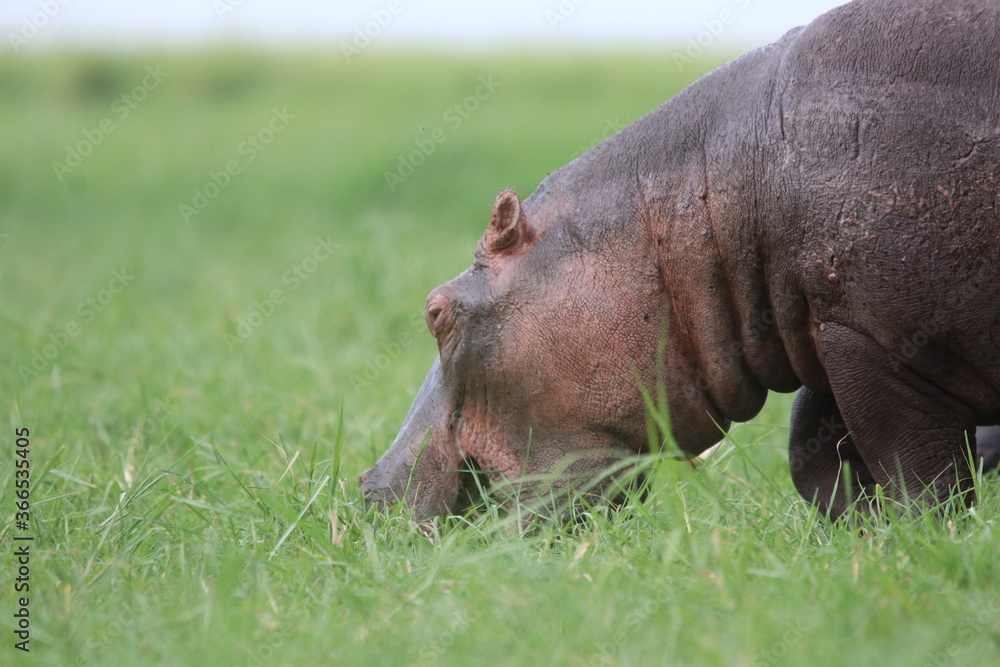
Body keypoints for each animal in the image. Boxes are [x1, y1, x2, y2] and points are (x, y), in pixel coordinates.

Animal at [362, 0, 1000, 521]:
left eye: (436, 311)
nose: (370, 487)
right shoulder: (825, 321)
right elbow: (811, 446)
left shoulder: (873, 337)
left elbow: (915, 471)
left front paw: (921, 536)